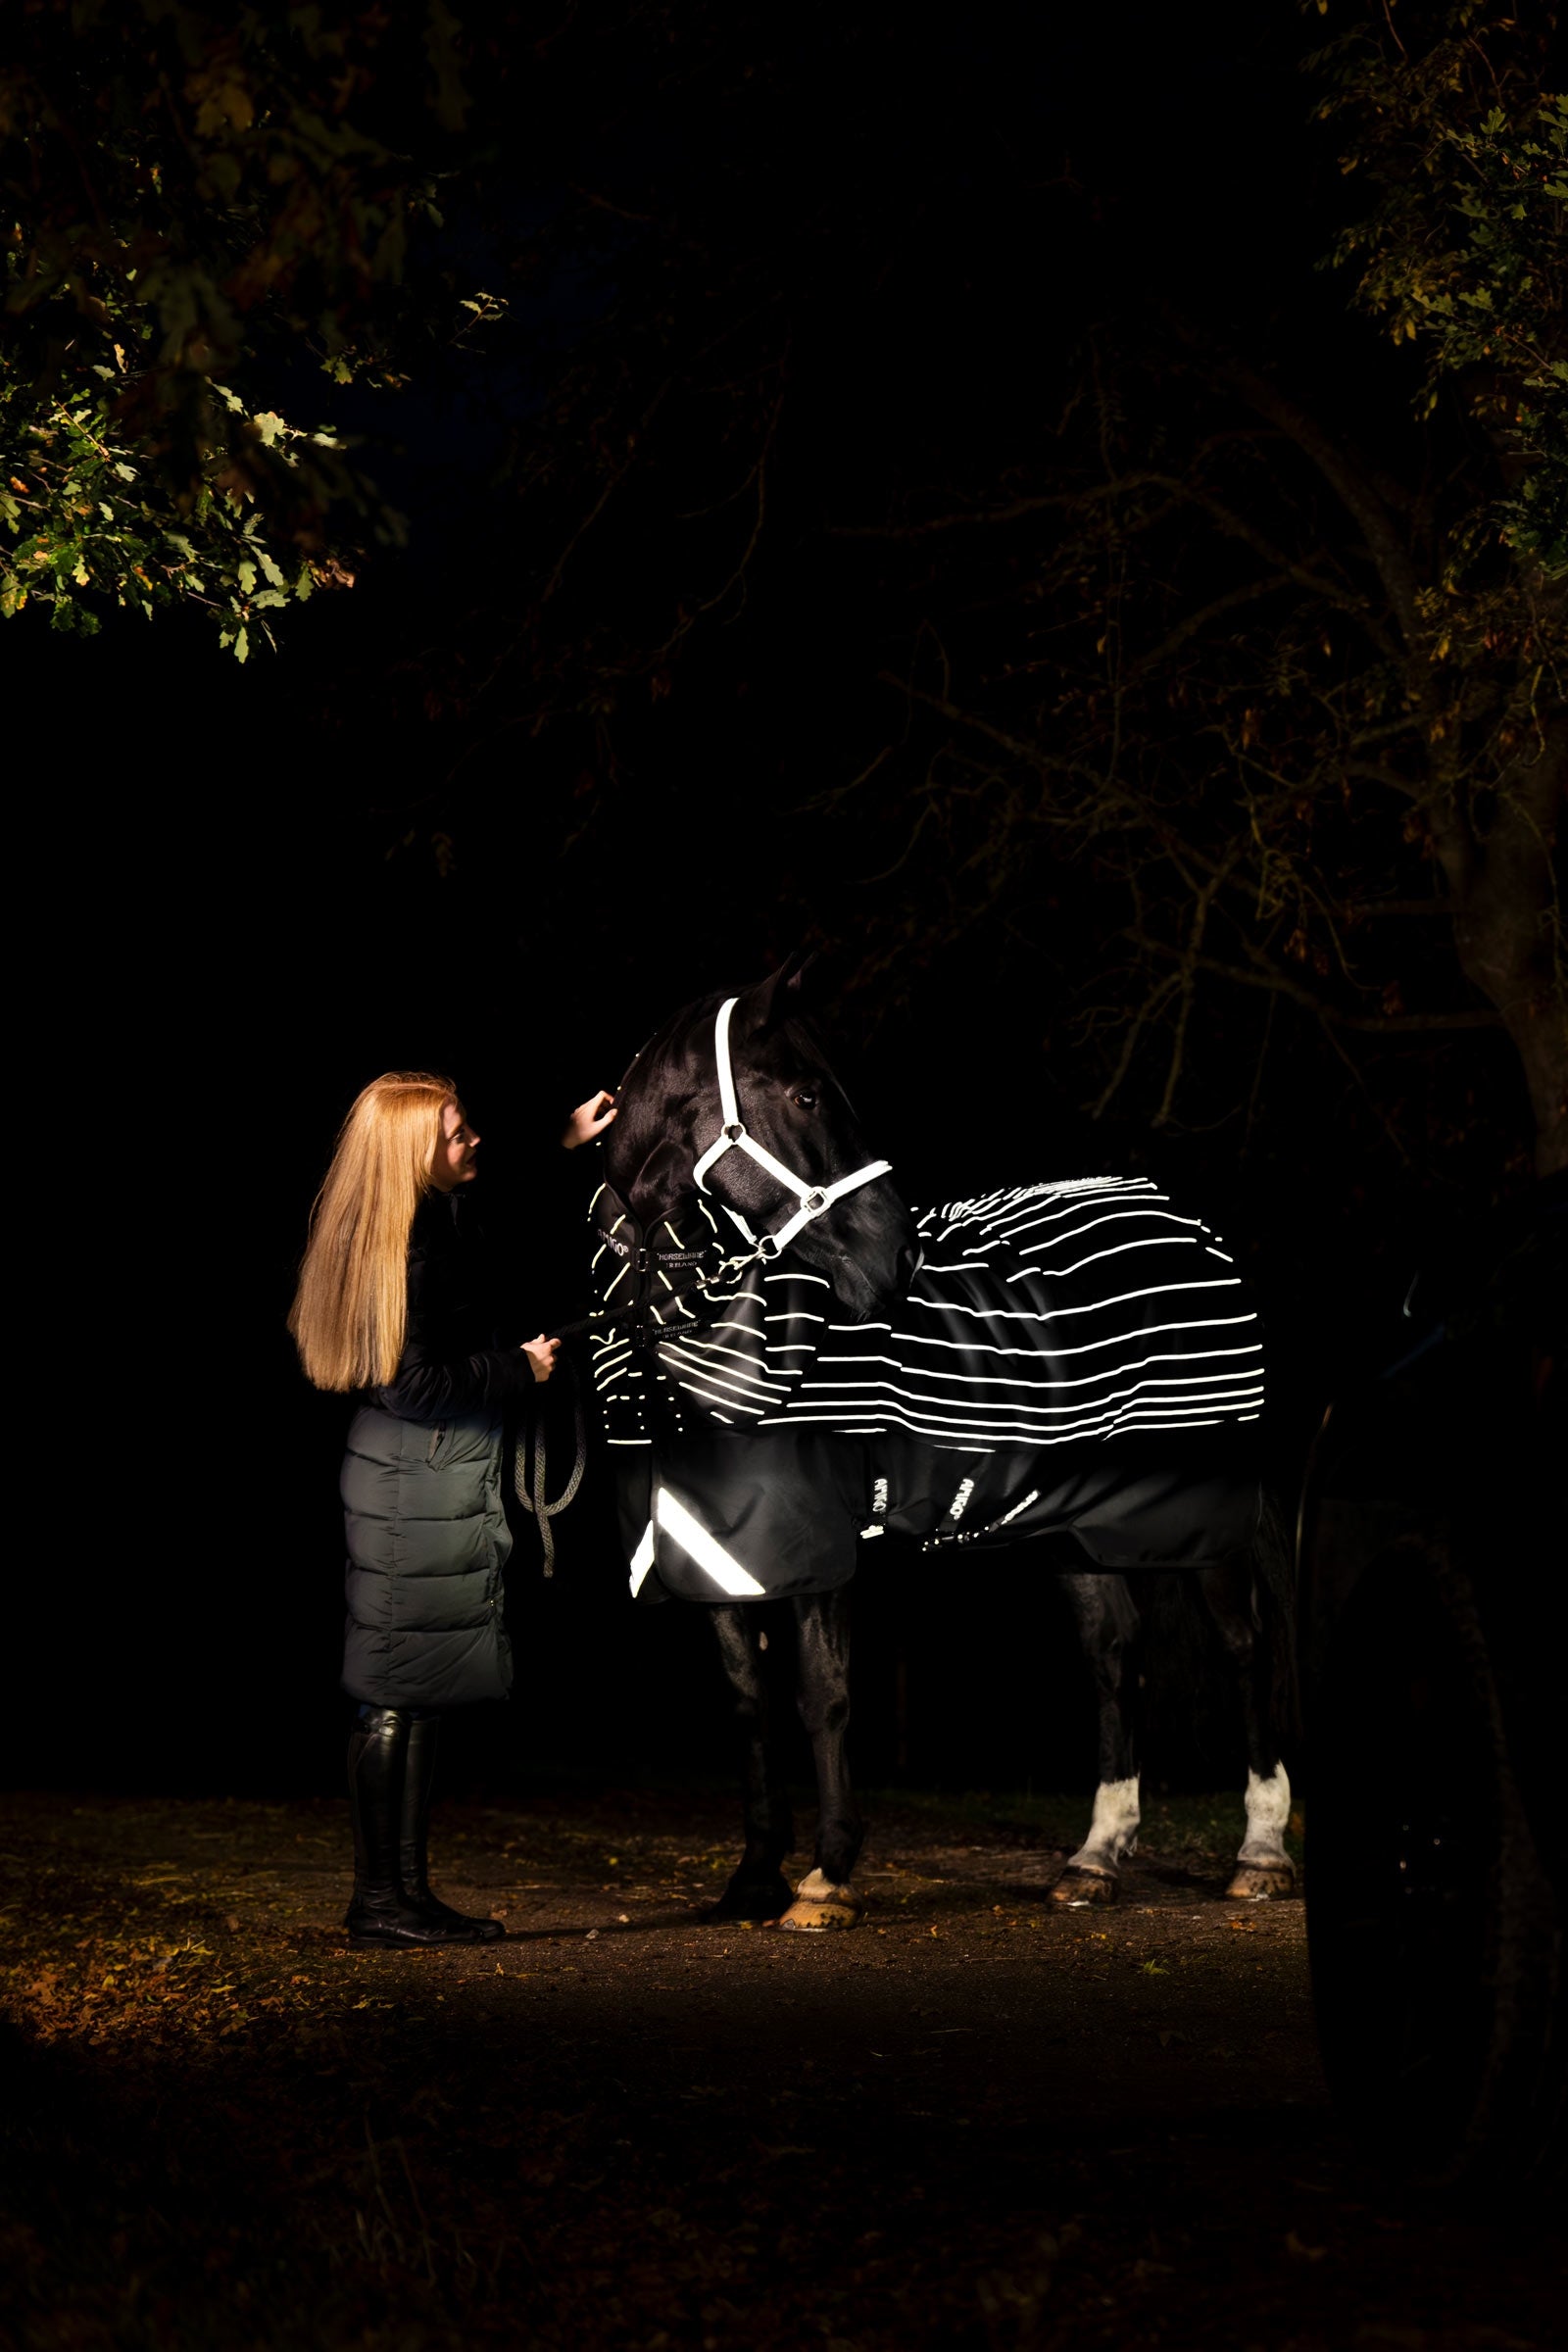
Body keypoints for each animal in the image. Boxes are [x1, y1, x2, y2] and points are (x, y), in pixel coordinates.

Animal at [586, 953, 1296, 1930]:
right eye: (807, 1094)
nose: (897, 1261)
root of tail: (1188, 1229)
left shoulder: (818, 1538)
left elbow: (822, 1695)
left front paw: (827, 1877)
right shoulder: (712, 1548)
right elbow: (746, 1703)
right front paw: (754, 1877)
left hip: (1196, 1512)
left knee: (1242, 1646)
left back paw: (1260, 1851)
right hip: (1073, 1522)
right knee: (1113, 1654)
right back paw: (1095, 1858)